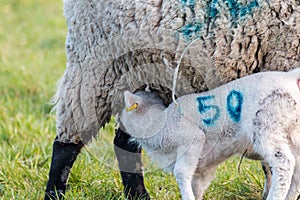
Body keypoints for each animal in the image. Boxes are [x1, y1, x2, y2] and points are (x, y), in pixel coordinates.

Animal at [120, 67, 300, 200]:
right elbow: (197, 186)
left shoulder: (192, 140)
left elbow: (181, 172)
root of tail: (289, 77)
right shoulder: (204, 167)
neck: (161, 121)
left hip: (266, 124)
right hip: (292, 132)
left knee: (284, 163)